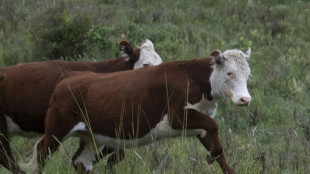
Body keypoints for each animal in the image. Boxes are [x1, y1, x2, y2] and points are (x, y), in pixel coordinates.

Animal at [24, 48, 252, 173]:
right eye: (229, 73)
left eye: (248, 74)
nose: (245, 99)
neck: (193, 79)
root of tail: (70, 76)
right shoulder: (177, 117)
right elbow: (214, 126)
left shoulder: (199, 121)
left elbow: (218, 148)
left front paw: (214, 157)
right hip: (57, 129)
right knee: (42, 152)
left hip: (91, 136)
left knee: (80, 161)